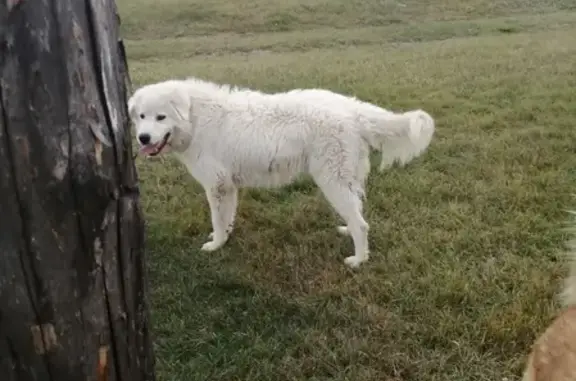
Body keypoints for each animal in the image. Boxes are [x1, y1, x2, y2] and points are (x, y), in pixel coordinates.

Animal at [128, 77, 434, 268]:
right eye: (141, 116)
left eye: (161, 117)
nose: (143, 138)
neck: (195, 118)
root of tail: (352, 108)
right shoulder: (228, 186)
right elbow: (226, 218)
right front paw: (224, 238)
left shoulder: (217, 185)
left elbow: (217, 218)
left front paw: (215, 244)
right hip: (346, 179)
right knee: (357, 213)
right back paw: (349, 231)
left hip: (331, 179)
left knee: (362, 224)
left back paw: (358, 260)